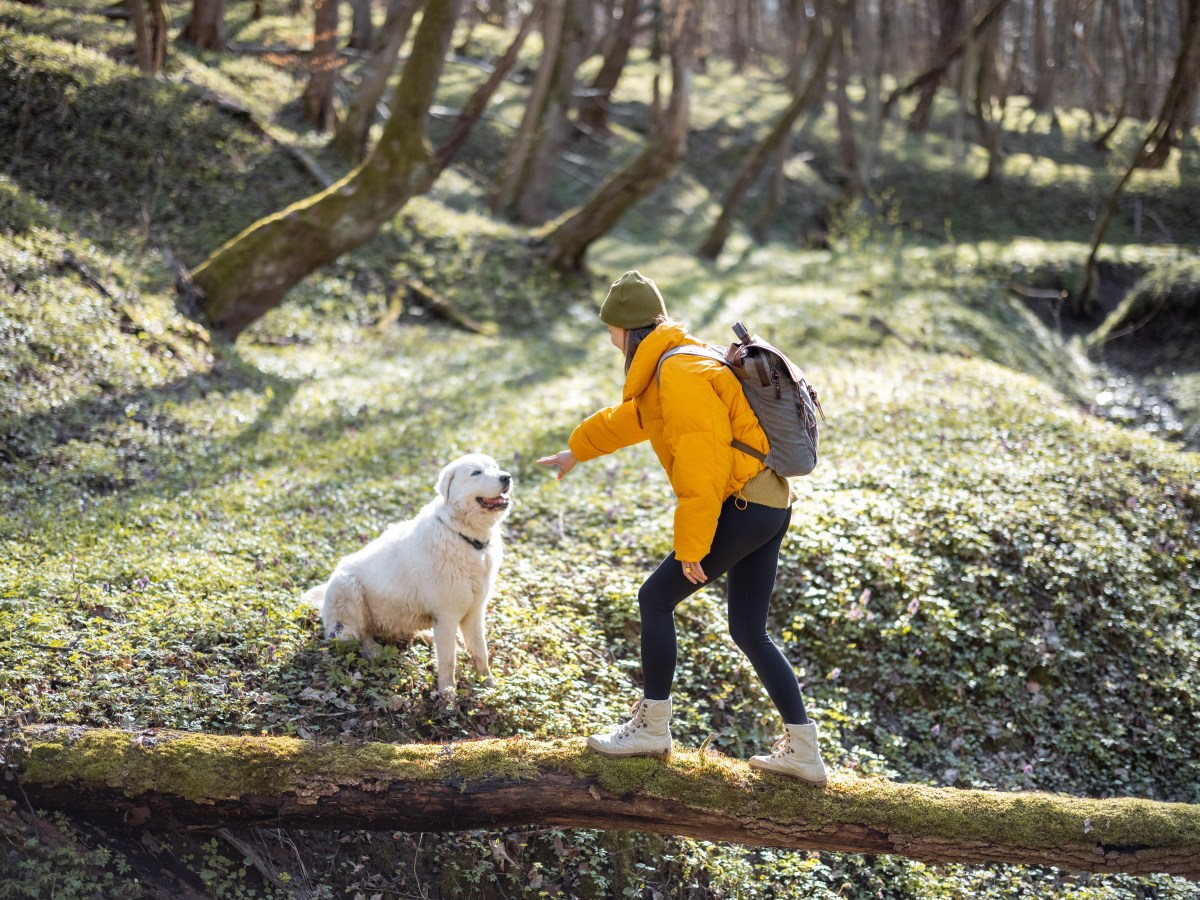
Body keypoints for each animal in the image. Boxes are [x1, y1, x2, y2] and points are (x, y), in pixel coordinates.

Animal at [304, 453, 511, 696]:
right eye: (476, 473)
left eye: (495, 467)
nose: (507, 477)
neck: (462, 536)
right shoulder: (448, 615)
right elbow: (448, 660)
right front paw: (447, 693)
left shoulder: (474, 611)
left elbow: (481, 650)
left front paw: (488, 684)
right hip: (347, 589)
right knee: (358, 635)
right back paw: (374, 650)